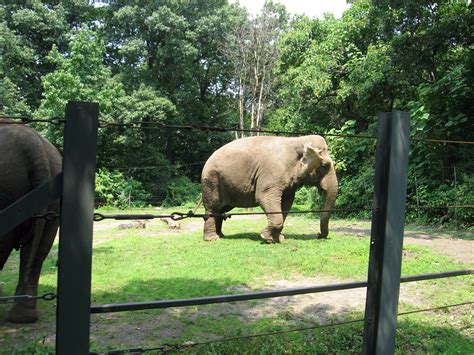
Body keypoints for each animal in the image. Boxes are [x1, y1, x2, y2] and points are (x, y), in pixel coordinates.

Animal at [200, 135, 336, 243]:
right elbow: (264, 197)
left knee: (221, 209)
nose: (318, 235)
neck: (297, 140)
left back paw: (221, 235)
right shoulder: (271, 173)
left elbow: (286, 203)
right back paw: (212, 239)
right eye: (324, 166)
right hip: (211, 181)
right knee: (213, 207)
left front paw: (276, 239)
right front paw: (265, 236)